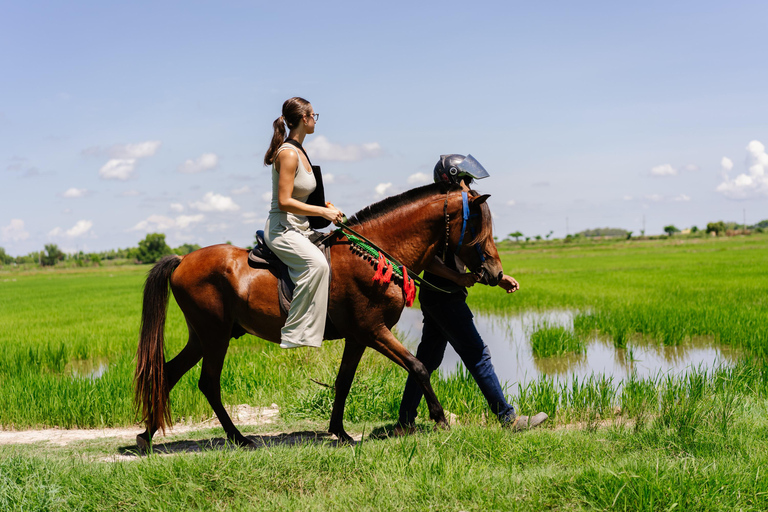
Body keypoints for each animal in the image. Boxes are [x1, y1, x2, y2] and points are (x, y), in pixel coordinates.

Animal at [134, 182, 504, 449]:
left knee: (169, 373)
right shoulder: (374, 331)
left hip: (203, 337)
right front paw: (440, 419)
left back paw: (148, 436)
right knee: (208, 382)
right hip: (215, 336)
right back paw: (236, 438)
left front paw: (339, 431)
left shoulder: (358, 337)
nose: (496, 273)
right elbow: (419, 366)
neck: (374, 254)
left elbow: (343, 382)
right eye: (476, 224)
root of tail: (183, 260)